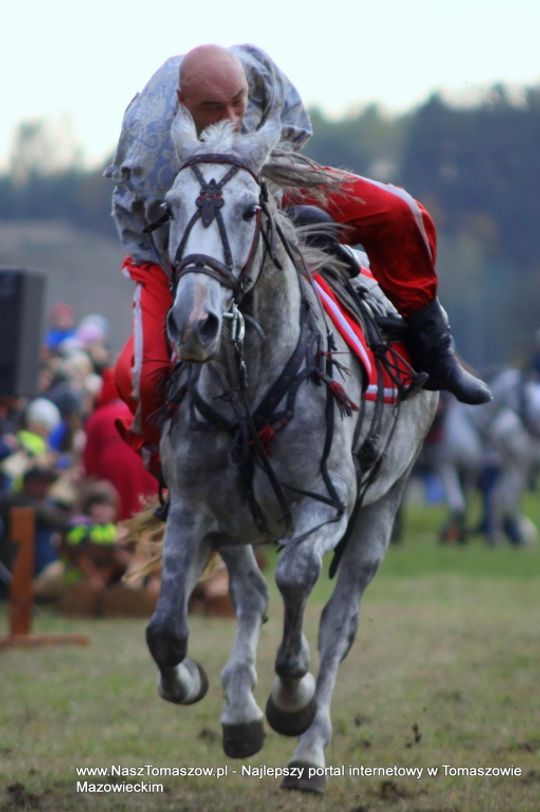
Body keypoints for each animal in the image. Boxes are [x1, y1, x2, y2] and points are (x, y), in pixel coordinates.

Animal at [144, 111, 438, 796]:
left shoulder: (326, 508)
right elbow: (166, 628)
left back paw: (308, 749)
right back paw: (239, 715)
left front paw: (291, 698)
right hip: (237, 522)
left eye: (250, 209)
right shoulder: (193, 509)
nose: (193, 323)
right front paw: (195, 685)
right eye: (171, 207)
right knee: (250, 596)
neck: (252, 383)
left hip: (381, 509)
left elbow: (298, 580)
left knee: (337, 623)